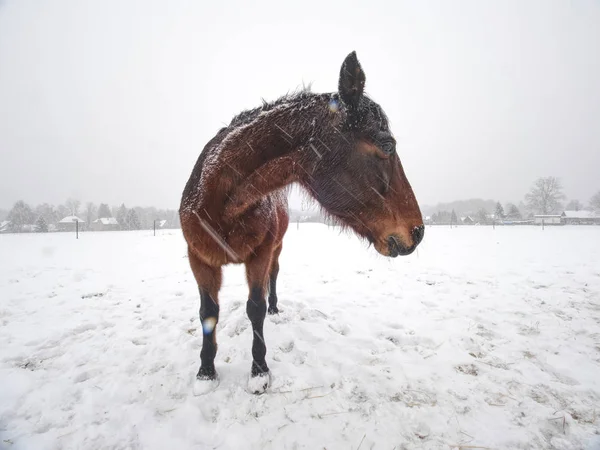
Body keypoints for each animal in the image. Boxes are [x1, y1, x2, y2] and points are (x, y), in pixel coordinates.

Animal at [180, 50, 424, 394]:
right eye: (387, 145)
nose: (418, 231)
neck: (221, 205)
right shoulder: (199, 259)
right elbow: (208, 313)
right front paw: (205, 372)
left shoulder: (260, 255)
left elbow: (255, 308)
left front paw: (259, 370)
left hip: (276, 248)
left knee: (273, 277)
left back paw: (274, 308)